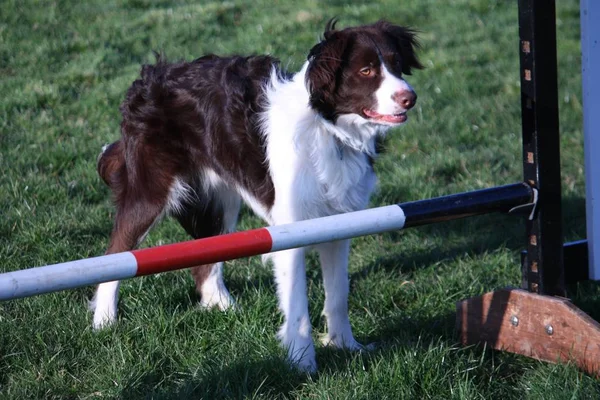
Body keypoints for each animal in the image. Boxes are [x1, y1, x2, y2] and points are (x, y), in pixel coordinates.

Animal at [92, 18, 422, 372]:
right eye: (365, 70)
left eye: (396, 64)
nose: (410, 98)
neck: (328, 128)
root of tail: (147, 78)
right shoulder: (291, 230)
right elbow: (297, 305)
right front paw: (303, 363)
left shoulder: (340, 225)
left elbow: (338, 294)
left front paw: (345, 345)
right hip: (151, 192)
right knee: (116, 252)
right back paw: (104, 322)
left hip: (222, 201)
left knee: (204, 260)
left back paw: (223, 307)